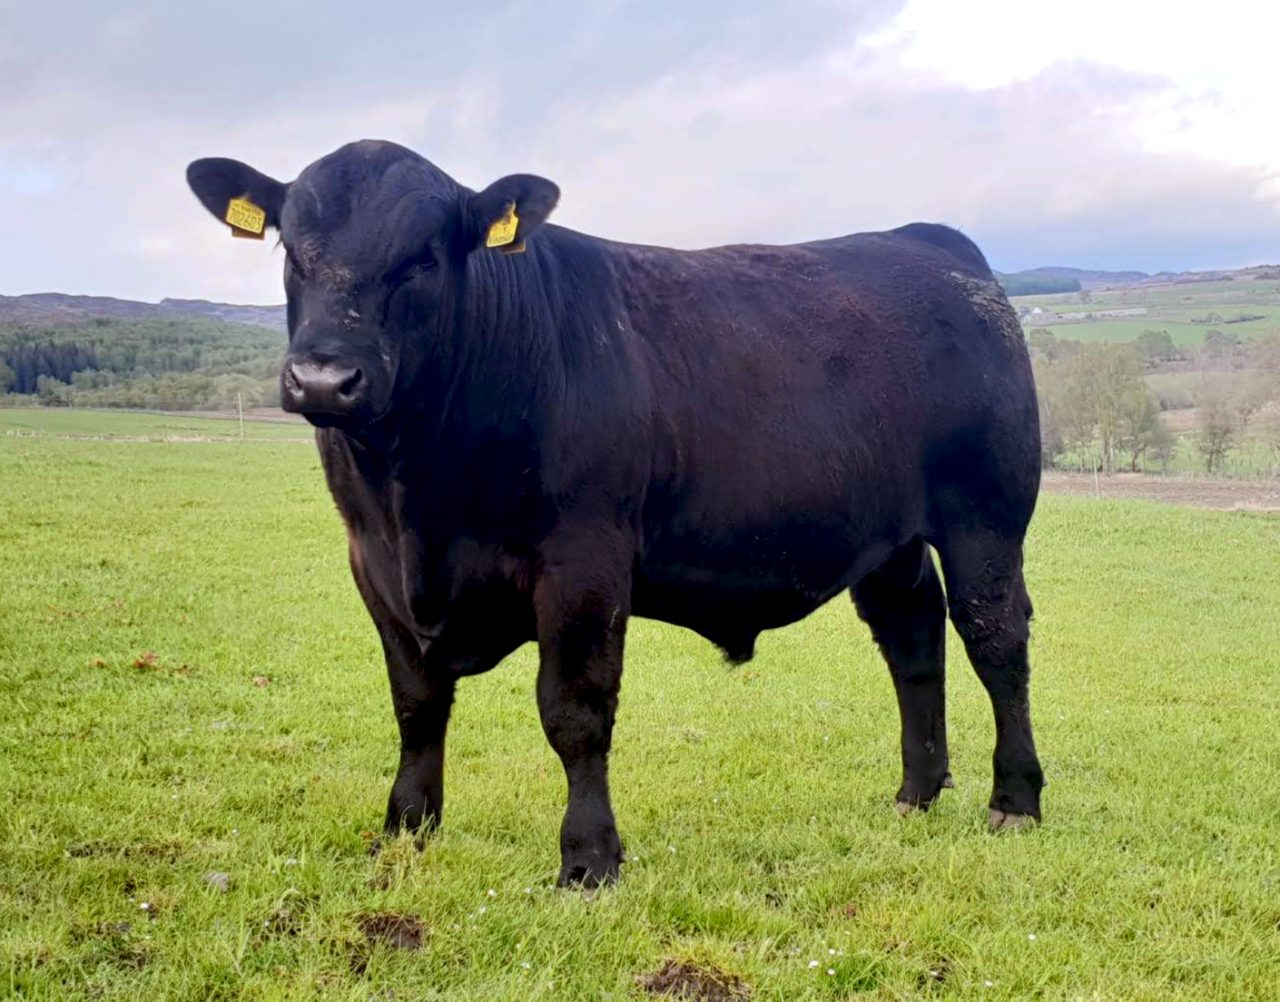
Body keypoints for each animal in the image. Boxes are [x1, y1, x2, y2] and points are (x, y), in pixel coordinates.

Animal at [186, 140, 1045, 887]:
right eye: (291, 251)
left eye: (423, 258)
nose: (323, 380)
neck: (416, 497)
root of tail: (927, 243)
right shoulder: (374, 564)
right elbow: (416, 704)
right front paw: (406, 828)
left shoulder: (584, 563)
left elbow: (575, 712)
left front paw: (589, 858)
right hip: (889, 539)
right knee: (913, 642)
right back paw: (917, 792)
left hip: (985, 518)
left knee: (995, 640)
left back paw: (1015, 800)